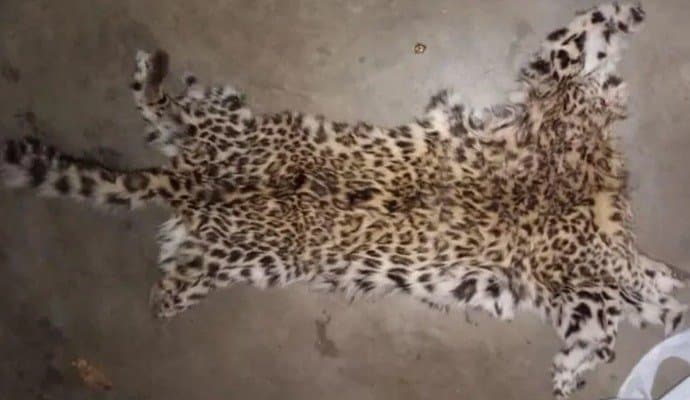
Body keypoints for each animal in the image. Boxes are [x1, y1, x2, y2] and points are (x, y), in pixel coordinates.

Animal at [1, 2, 688, 398]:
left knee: (167, 271)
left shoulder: (592, 289)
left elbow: (627, 314)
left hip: (218, 218)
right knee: (161, 128)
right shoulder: (558, 82)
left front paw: (580, 366)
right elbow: (586, 30)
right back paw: (153, 68)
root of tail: (188, 181)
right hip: (229, 155)